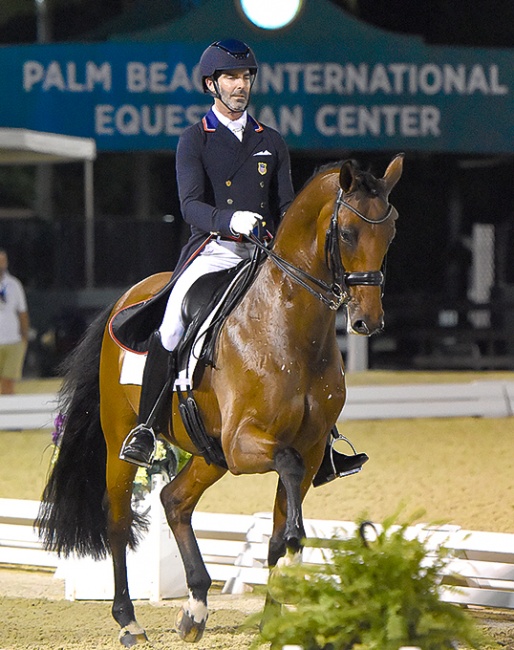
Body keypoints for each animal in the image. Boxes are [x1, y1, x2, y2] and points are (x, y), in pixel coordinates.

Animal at [38, 152, 402, 644]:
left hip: (209, 453)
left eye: (392, 230)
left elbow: (275, 533)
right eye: (346, 232)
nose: (368, 321)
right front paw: (296, 537)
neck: (289, 328)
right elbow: (287, 481)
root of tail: (127, 297)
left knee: (174, 500)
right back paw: (129, 621)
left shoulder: (307, 450)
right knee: (118, 522)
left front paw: (274, 622)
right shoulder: (246, 442)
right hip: (125, 441)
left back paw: (194, 609)